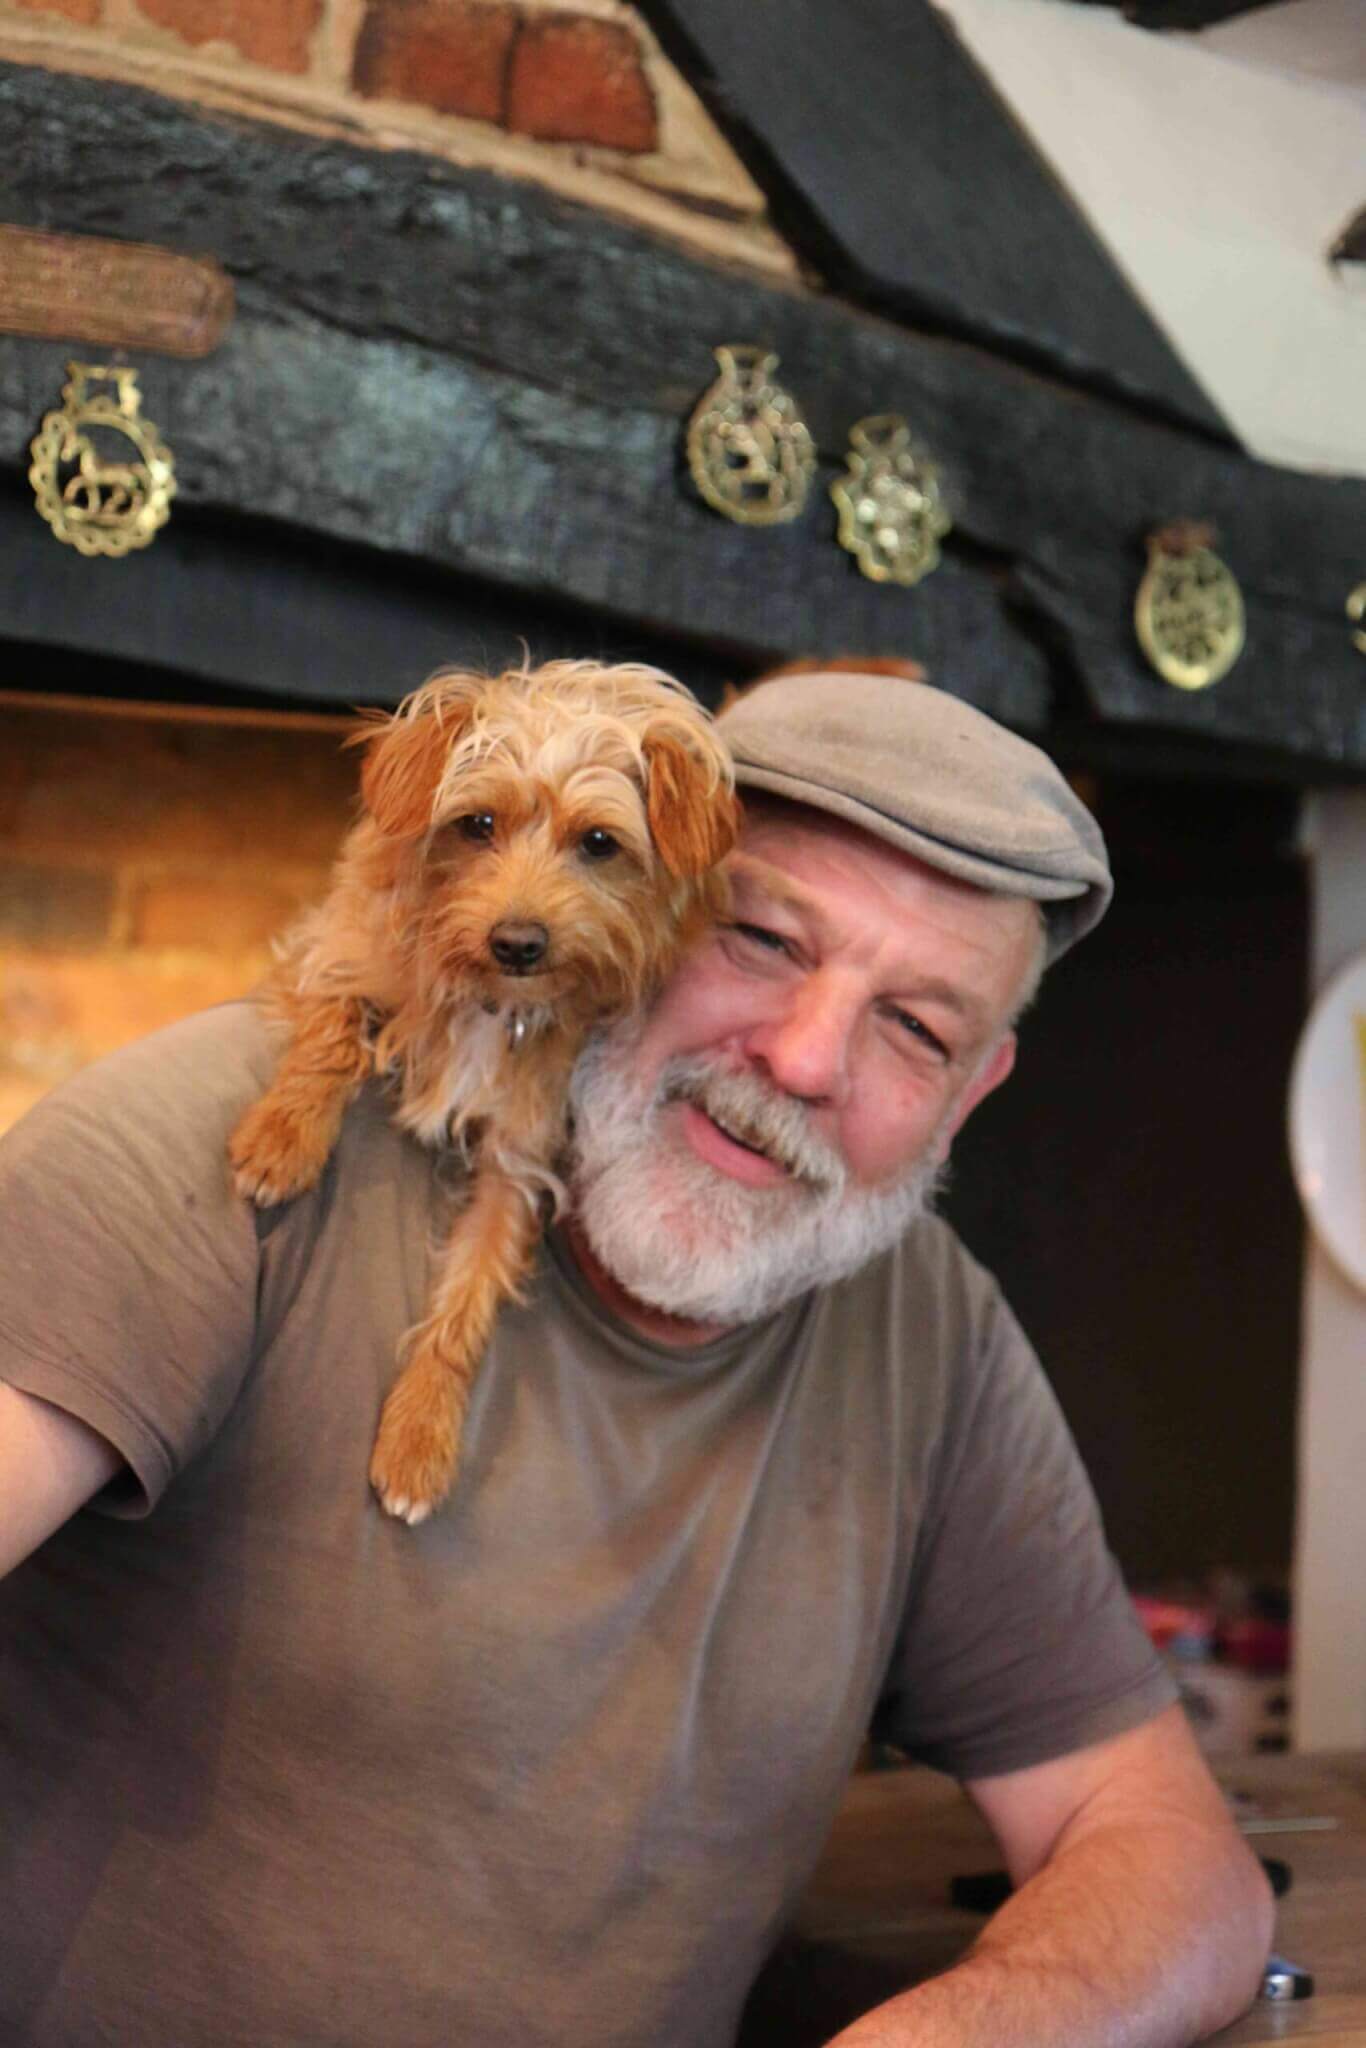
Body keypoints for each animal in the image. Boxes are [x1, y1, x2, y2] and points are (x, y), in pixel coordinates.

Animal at [228, 659, 738, 1523]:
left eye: (597, 843)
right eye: (477, 825)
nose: (518, 942)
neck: (492, 1005)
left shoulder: (520, 1162)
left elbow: (467, 1300)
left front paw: (419, 1435)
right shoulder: (333, 947)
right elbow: (333, 1034)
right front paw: (282, 1141)